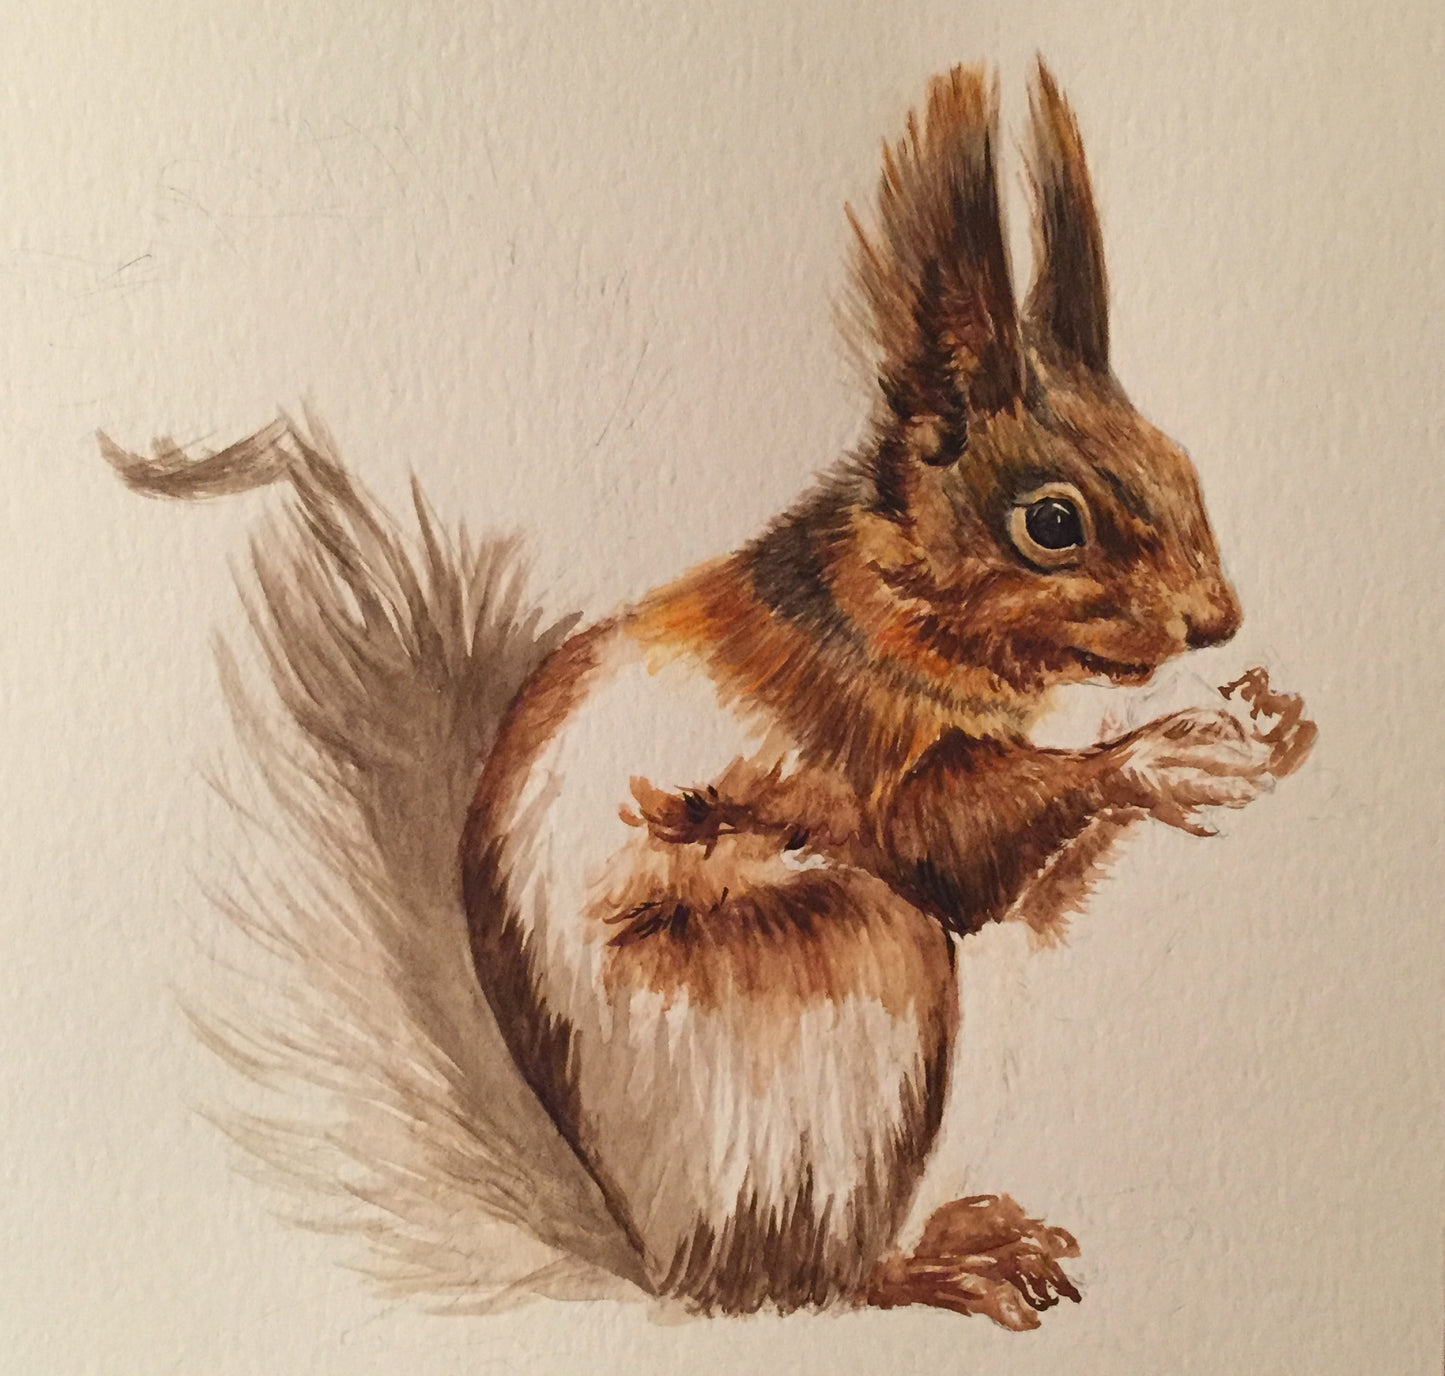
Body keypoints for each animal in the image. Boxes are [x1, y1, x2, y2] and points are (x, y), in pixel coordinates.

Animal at [104, 61, 1315, 1330]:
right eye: (1049, 521)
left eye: (1176, 464)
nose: (1215, 620)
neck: (870, 600)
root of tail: (650, 1248)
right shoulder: (856, 743)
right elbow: (952, 848)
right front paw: (1163, 755)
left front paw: (1269, 727)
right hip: (850, 958)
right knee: (817, 1272)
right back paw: (935, 1259)